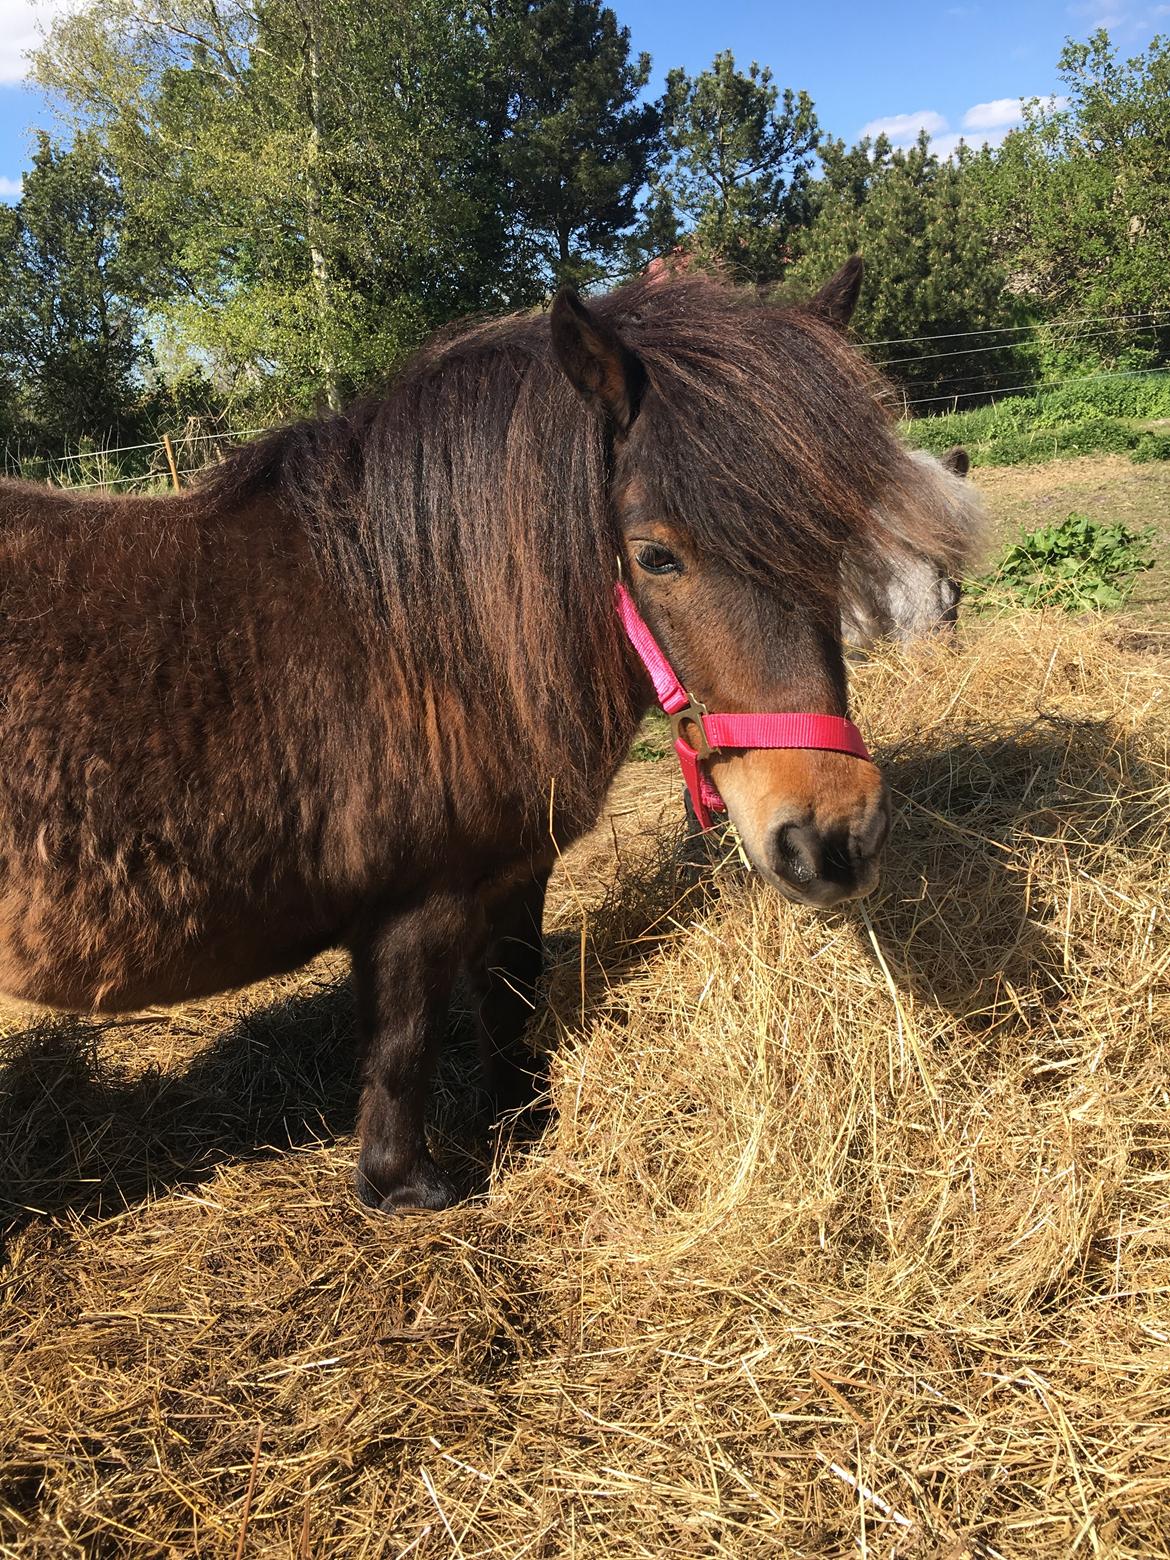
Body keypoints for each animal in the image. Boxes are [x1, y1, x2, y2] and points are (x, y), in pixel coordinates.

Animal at [0, 262, 967, 1210]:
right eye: (655, 556)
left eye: (833, 535)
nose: (835, 838)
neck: (417, 637)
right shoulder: (412, 907)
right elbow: (404, 1044)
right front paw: (406, 1185)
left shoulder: (514, 869)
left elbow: (508, 991)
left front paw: (521, 1115)